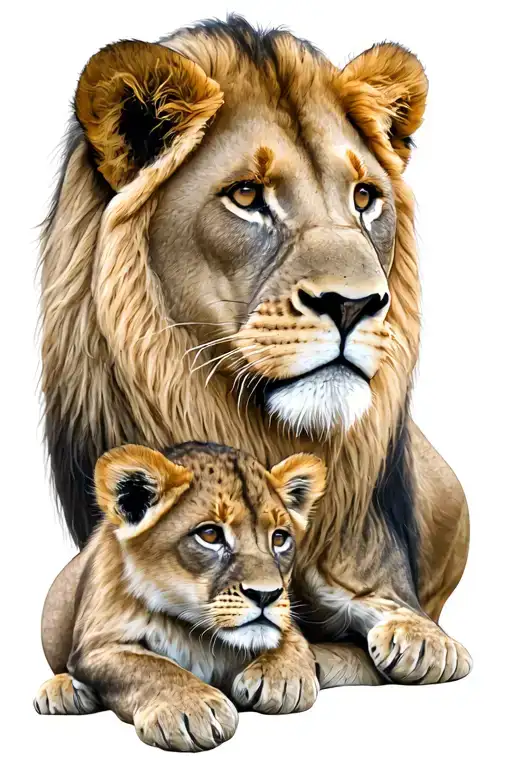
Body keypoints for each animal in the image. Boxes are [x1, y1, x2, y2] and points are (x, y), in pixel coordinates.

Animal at [35, 441, 377, 751]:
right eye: (210, 535)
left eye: (280, 538)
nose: (266, 595)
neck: (197, 633)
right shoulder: (97, 646)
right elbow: (149, 667)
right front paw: (191, 708)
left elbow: (290, 637)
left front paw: (282, 678)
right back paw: (62, 691)